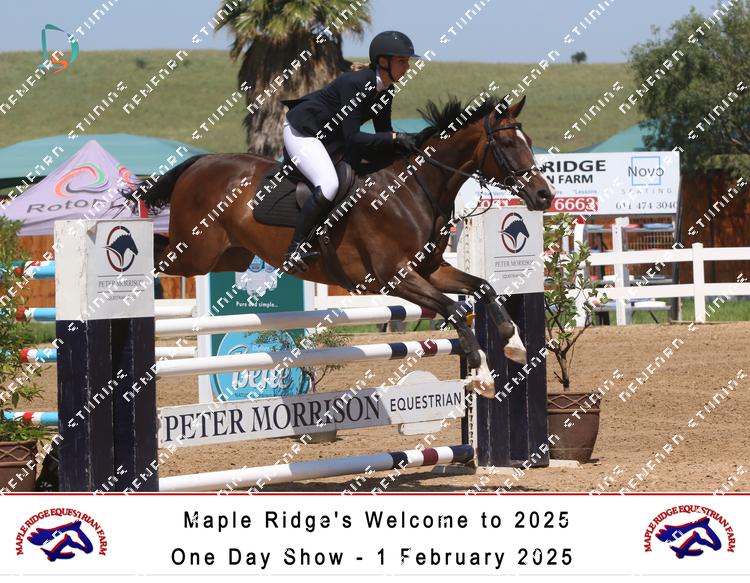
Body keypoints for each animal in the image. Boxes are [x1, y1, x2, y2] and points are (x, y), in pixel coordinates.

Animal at [127, 95, 554, 397]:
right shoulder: (394, 277)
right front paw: (482, 376)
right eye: (508, 143)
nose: (544, 196)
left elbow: (484, 287)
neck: (414, 191)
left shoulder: (431, 270)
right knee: (157, 254)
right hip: (193, 251)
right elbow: (454, 310)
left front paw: (515, 345)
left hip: (227, 256)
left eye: (530, 141)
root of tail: (199, 163)